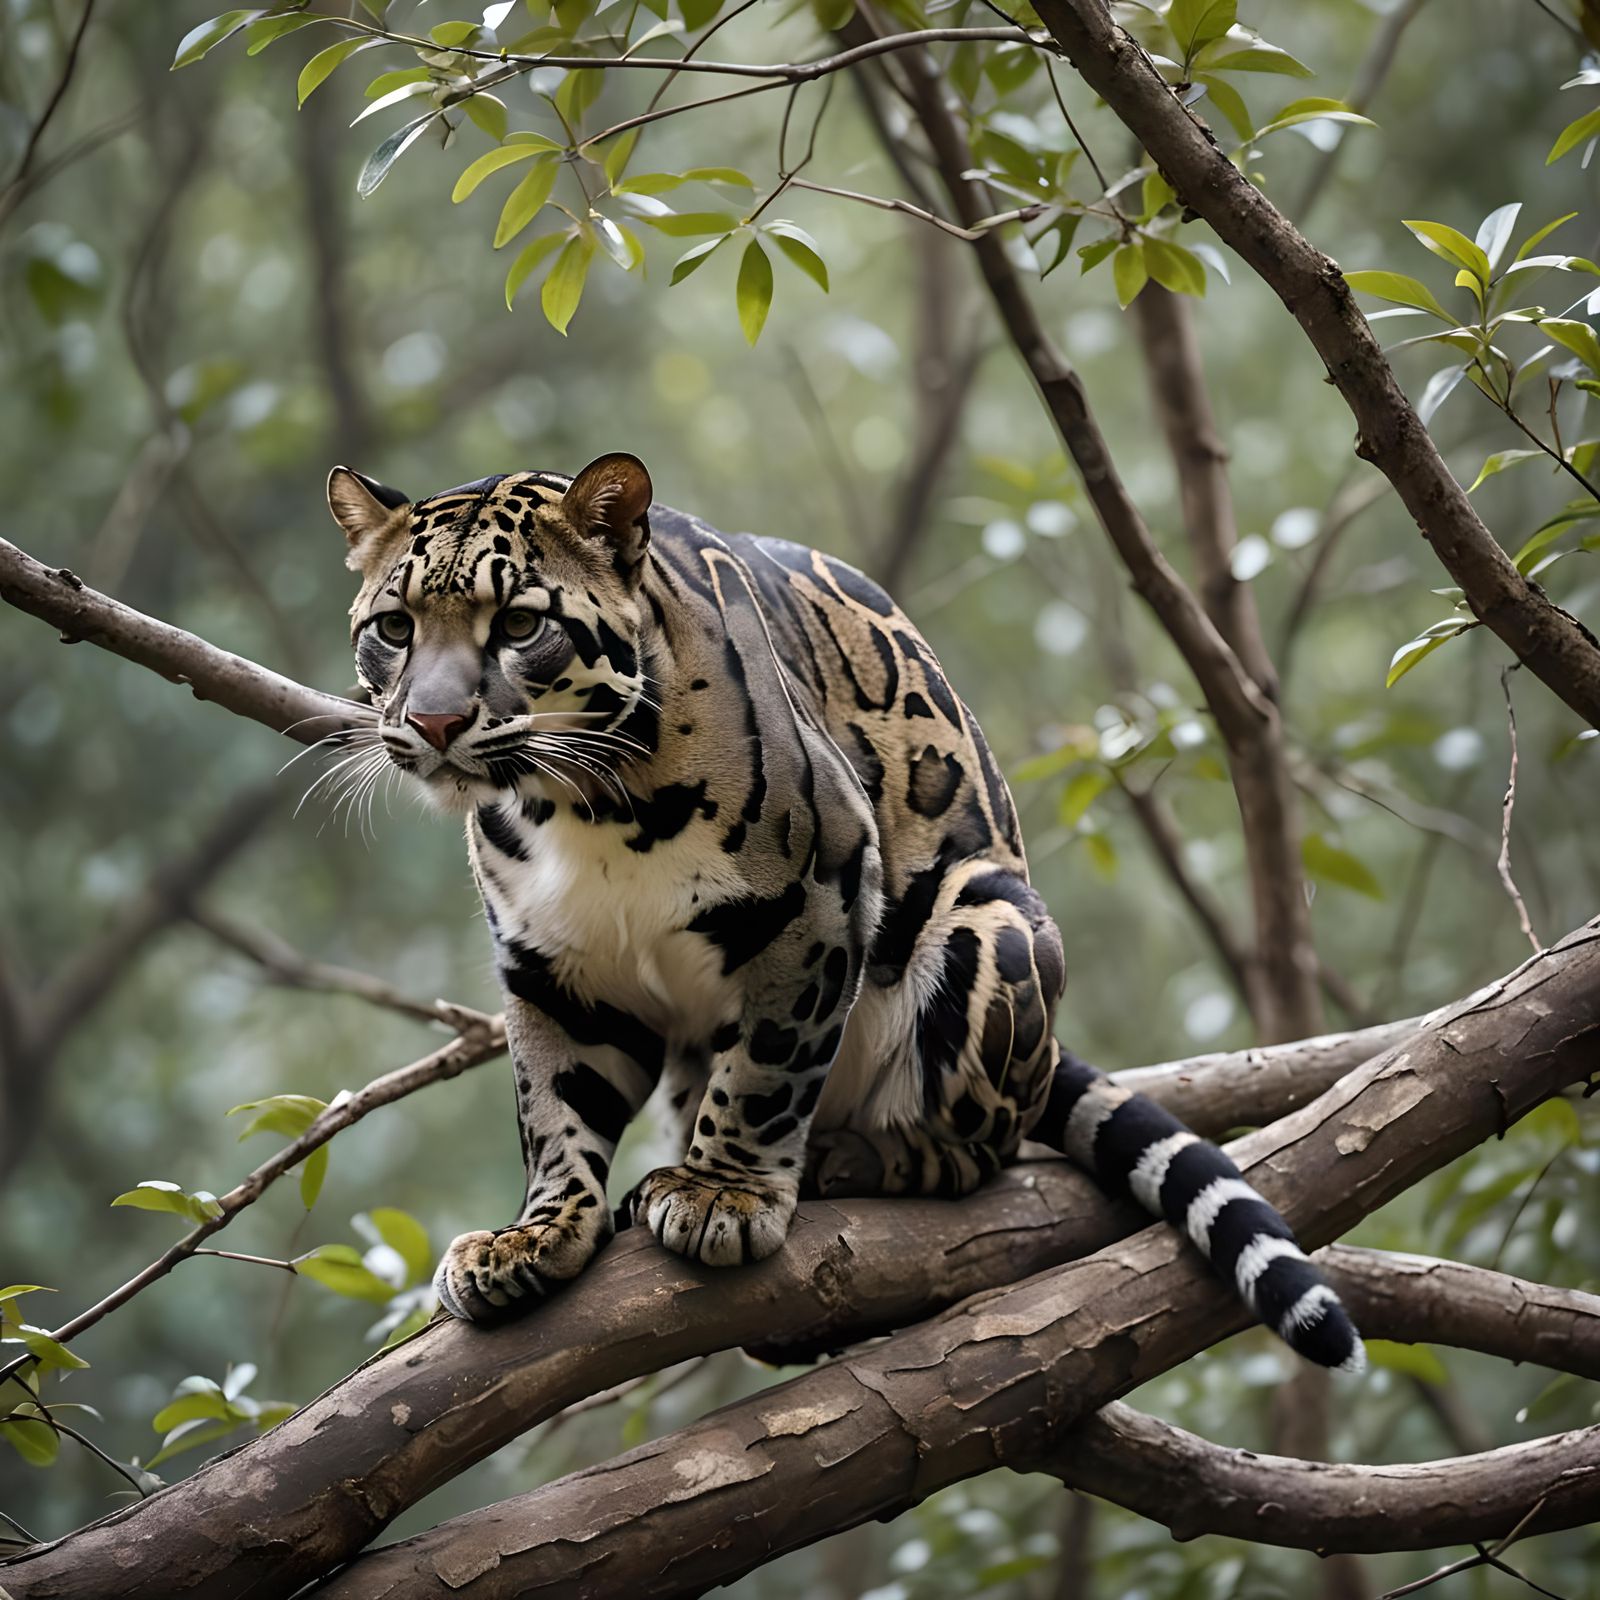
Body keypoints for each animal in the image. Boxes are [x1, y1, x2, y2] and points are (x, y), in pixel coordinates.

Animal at [327, 451, 1363, 1372]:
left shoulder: (817, 893)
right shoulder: (553, 969)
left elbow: (767, 1070)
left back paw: (849, 1162)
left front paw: (724, 1195)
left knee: (980, 1154)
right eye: (395, 628)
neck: (574, 807)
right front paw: (535, 1235)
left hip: (988, 921)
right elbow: (555, 1107)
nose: (433, 723)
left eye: (518, 624)